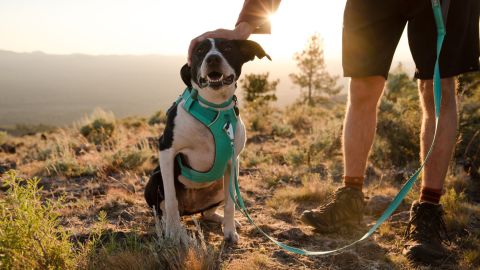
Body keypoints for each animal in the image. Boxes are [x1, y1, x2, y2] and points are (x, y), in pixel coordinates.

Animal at [143, 38, 270, 243]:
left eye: (227, 47)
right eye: (200, 51)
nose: (212, 58)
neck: (214, 108)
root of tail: (190, 210)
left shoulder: (233, 162)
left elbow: (230, 203)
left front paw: (229, 231)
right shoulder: (166, 150)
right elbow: (171, 200)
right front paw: (173, 233)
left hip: (220, 184)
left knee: (208, 212)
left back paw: (222, 219)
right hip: (154, 180)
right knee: (163, 211)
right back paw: (170, 227)